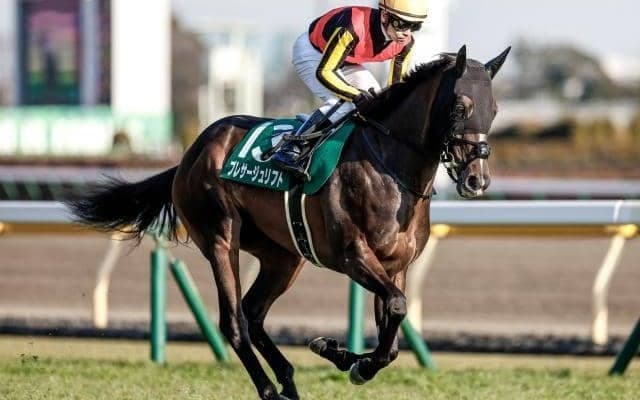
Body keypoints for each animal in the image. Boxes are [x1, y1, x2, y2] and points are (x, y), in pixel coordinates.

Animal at [66, 45, 510, 400]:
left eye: (494, 110)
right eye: (460, 107)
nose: (477, 180)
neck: (389, 165)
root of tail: (191, 153)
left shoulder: (395, 265)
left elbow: (394, 327)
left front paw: (344, 356)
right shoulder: (353, 256)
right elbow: (397, 307)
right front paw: (351, 360)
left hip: (283, 255)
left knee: (254, 312)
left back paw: (289, 379)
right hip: (220, 236)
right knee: (234, 321)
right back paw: (269, 389)